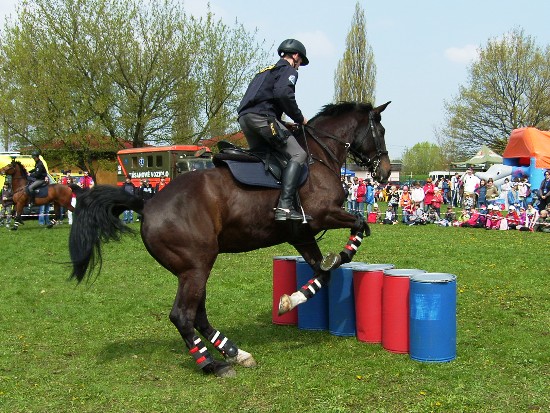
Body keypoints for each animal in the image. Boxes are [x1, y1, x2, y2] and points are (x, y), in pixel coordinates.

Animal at [70, 100, 392, 376]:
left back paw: (235, 352)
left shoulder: (302, 235)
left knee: (198, 315)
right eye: (382, 131)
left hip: (192, 269)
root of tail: (147, 203)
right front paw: (342, 254)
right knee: (183, 316)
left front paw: (291, 300)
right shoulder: (324, 214)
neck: (319, 156)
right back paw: (213, 364)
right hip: (196, 267)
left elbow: (323, 273)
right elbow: (359, 226)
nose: (386, 173)